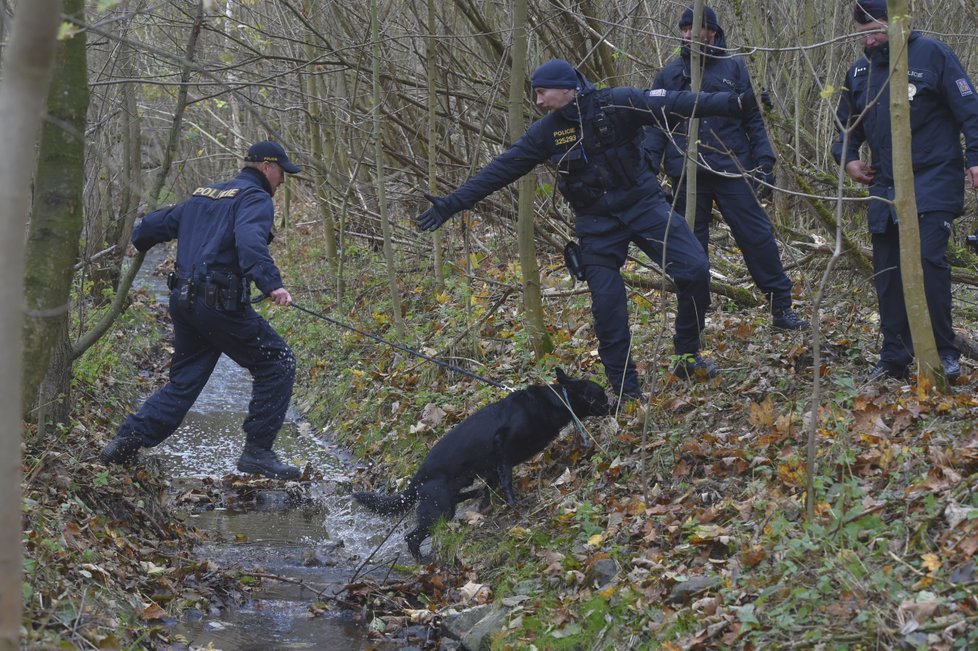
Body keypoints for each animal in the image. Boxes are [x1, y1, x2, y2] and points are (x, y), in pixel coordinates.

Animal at [354, 370, 608, 564]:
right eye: (600, 396)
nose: (612, 404)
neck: (555, 401)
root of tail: (418, 478)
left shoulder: (493, 466)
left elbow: (491, 486)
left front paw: (487, 502)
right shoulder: (503, 449)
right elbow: (505, 481)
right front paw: (512, 504)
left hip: (448, 498)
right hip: (439, 510)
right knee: (412, 537)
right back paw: (423, 560)